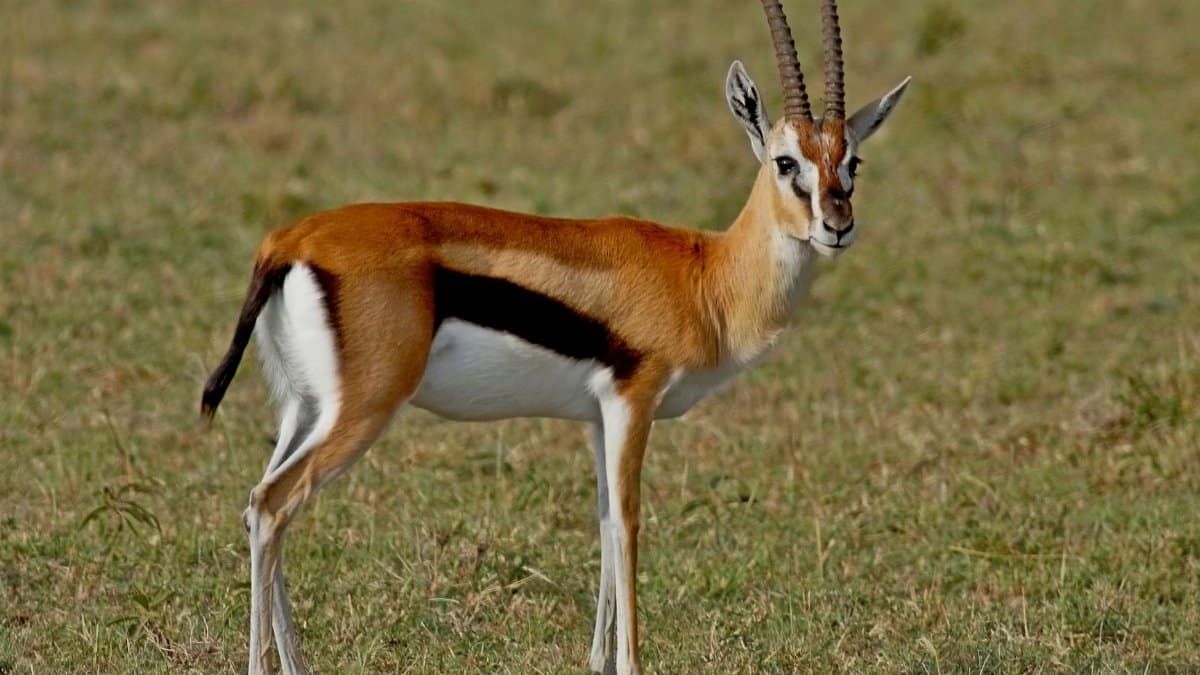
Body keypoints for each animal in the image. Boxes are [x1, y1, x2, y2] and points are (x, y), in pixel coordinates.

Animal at [201, 1, 909, 673]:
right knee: (274, 503)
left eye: (852, 161)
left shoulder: (597, 417)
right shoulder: (632, 403)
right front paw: (629, 663)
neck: (705, 275)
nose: (837, 225)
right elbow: (628, 522)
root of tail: (291, 239)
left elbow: (602, 521)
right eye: (787, 162)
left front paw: (595, 661)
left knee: (259, 506)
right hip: (365, 407)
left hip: (305, 409)